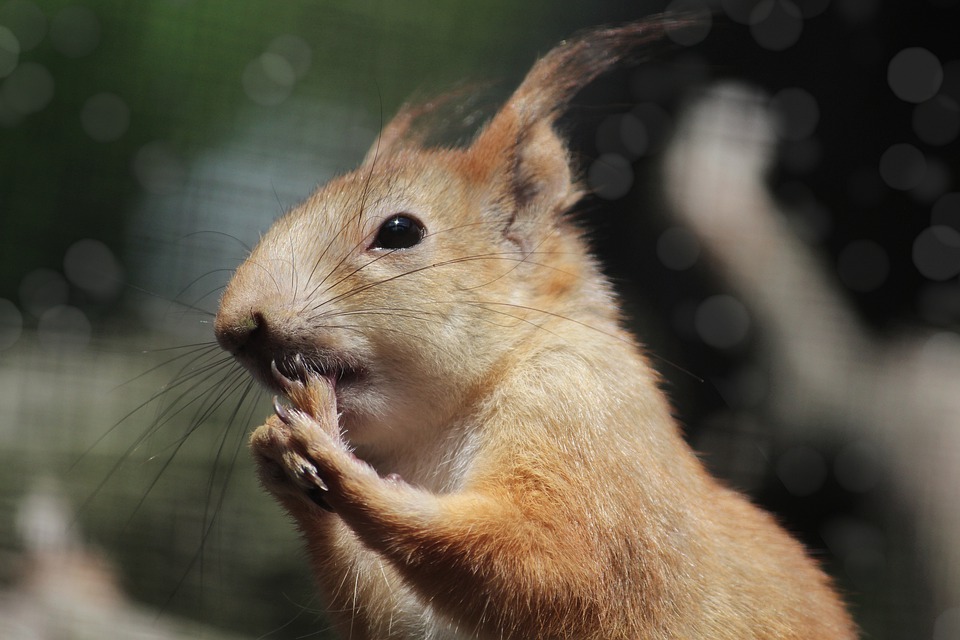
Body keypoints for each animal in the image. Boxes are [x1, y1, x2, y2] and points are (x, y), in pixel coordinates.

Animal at [214, 15, 860, 640]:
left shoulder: (583, 410)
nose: (234, 327)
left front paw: (332, 459)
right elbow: (398, 618)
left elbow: (552, 564)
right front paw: (278, 457)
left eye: (399, 231)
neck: (438, 430)